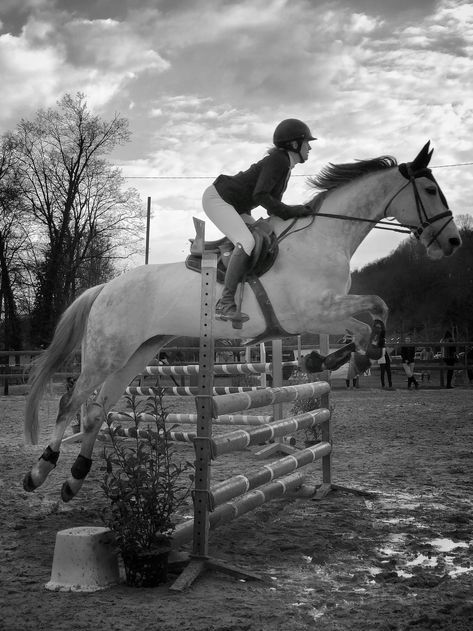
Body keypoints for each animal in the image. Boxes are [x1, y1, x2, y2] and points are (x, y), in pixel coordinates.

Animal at [22, 141, 460, 502]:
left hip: (137, 354)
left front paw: (325, 361)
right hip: (106, 353)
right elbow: (372, 319)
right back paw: (40, 471)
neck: (323, 237)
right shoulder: (315, 311)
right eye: (431, 191)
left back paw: (74, 479)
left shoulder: (326, 312)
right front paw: (351, 360)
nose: (453, 242)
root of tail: (105, 287)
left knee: (96, 410)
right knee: (71, 403)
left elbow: (377, 314)